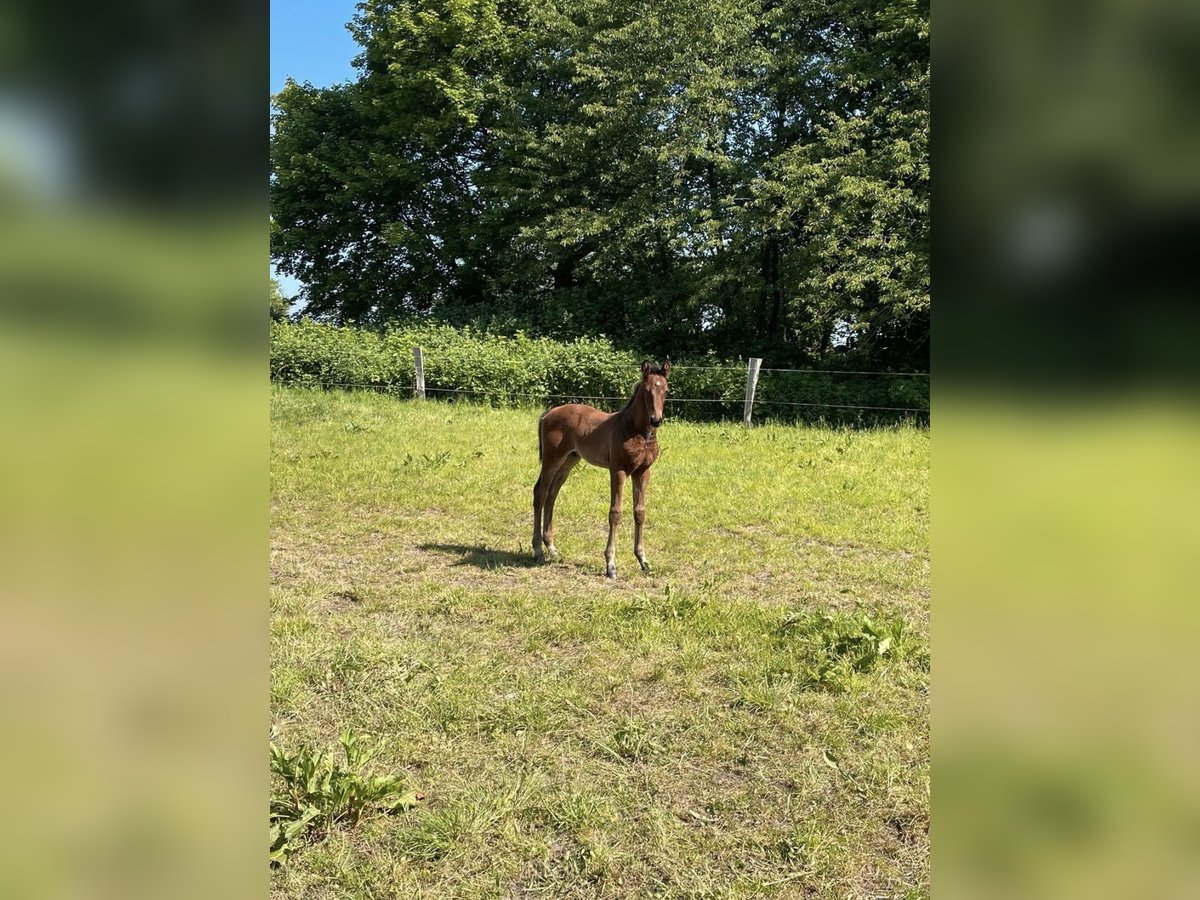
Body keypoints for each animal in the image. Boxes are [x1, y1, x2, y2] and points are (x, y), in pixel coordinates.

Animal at [537, 360, 672, 578]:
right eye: (646, 390)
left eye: (666, 390)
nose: (656, 420)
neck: (636, 431)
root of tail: (548, 413)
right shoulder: (618, 470)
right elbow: (615, 513)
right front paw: (611, 564)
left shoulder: (642, 472)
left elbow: (640, 512)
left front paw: (643, 561)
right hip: (552, 460)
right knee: (540, 495)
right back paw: (537, 551)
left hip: (569, 461)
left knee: (551, 495)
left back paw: (552, 549)